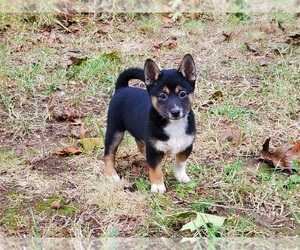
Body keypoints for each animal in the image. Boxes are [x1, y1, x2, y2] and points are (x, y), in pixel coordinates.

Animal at [103, 53, 197, 192]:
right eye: (162, 96)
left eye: (183, 94)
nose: (175, 112)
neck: (173, 125)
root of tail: (122, 88)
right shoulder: (153, 151)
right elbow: (155, 169)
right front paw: (157, 186)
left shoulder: (186, 146)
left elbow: (180, 163)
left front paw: (180, 176)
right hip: (115, 131)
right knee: (108, 153)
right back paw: (111, 175)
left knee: (139, 143)